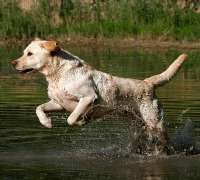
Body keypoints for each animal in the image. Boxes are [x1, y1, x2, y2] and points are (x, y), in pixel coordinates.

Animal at [12, 38, 188, 153]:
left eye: (30, 54)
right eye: (24, 52)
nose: (13, 63)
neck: (60, 74)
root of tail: (148, 83)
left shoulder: (88, 98)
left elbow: (71, 118)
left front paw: (82, 121)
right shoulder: (58, 103)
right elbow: (39, 108)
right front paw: (47, 122)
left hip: (156, 123)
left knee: (168, 143)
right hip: (139, 125)